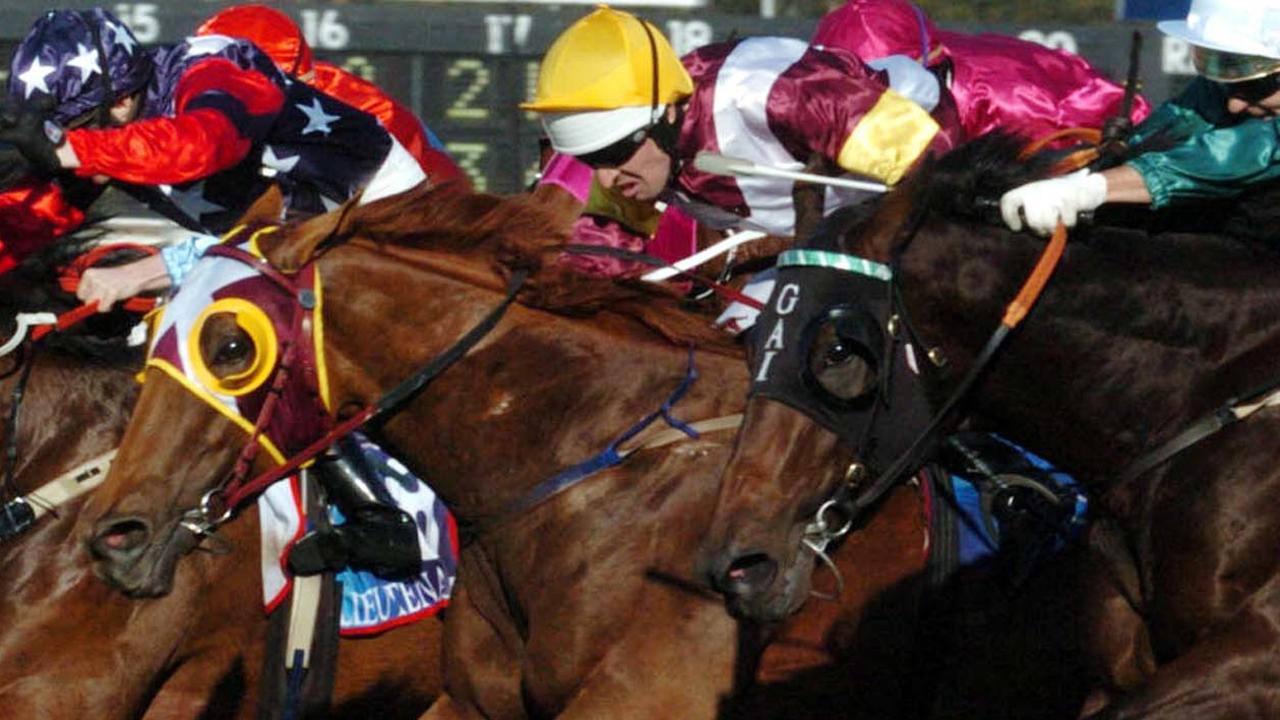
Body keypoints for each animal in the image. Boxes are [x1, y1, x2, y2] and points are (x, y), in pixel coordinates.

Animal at [701, 133, 1280, 712]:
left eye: (837, 351)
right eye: (753, 345)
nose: (739, 566)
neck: (1193, 399)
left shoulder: (1256, 649)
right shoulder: (1117, 666)